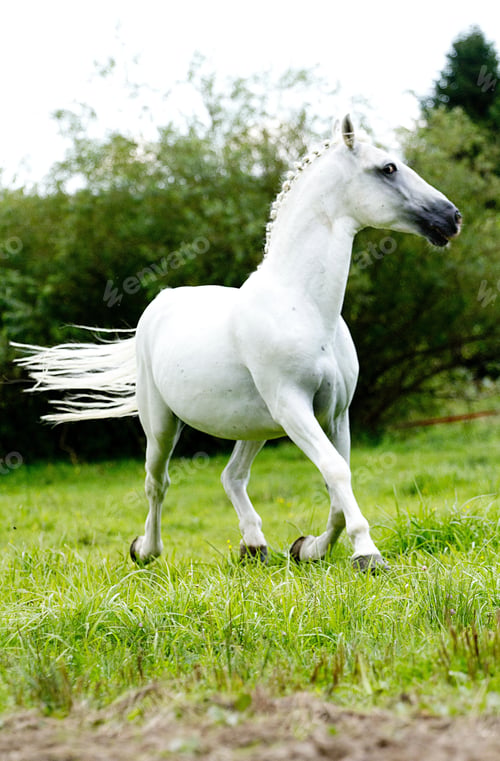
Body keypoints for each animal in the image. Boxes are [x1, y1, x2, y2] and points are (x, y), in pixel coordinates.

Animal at [14, 115, 462, 571]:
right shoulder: (294, 406)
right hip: (163, 424)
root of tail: (161, 302)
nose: (452, 217)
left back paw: (254, 546)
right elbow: (336, 473)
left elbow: (336, 484)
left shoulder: (336, 413)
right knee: (157, 483)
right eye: (388, 168)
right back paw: (147, 551)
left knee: (231, 476)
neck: (302, 305)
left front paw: (309, 548)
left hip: (256, 423)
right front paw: (367, 555)